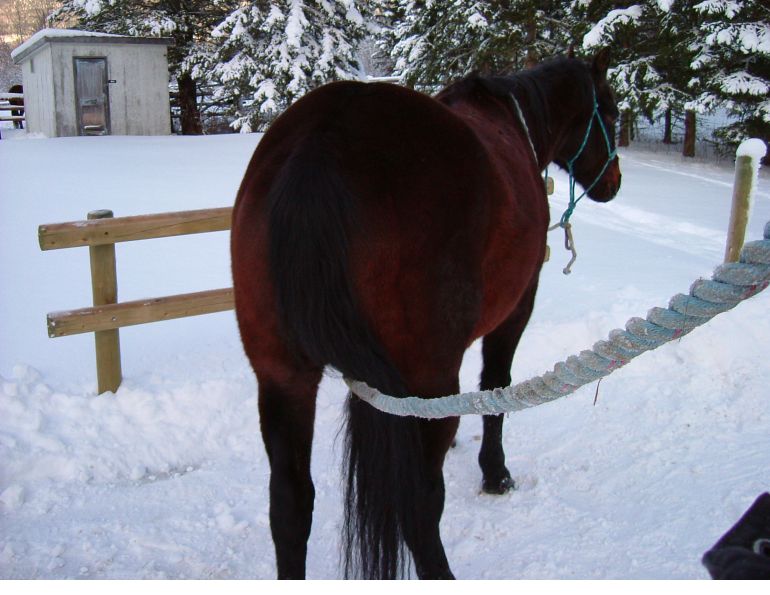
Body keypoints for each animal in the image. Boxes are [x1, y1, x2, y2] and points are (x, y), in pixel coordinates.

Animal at [231, 48, 621, 579]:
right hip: (425, 378)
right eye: (614, 113)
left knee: (290, 507)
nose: (614, 182)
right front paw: (495, 472)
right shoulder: (516, 308)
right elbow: (495, 386)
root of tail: (323, 143)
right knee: (419, 506)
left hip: (283, 378)